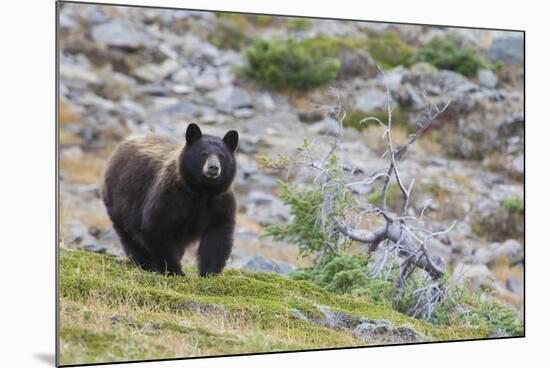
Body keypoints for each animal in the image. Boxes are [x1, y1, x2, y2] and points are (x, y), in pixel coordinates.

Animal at [102, 123, 239, 276]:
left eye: (221, 156)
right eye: (203, 153)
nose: (213, 167)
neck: (201, 191)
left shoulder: (219, 201)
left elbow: (217, 233)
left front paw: (209, 272)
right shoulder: (172, 194)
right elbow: (158, 225)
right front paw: (174, 270)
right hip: (121, 200)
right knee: (129, 236)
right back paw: (145, 263)